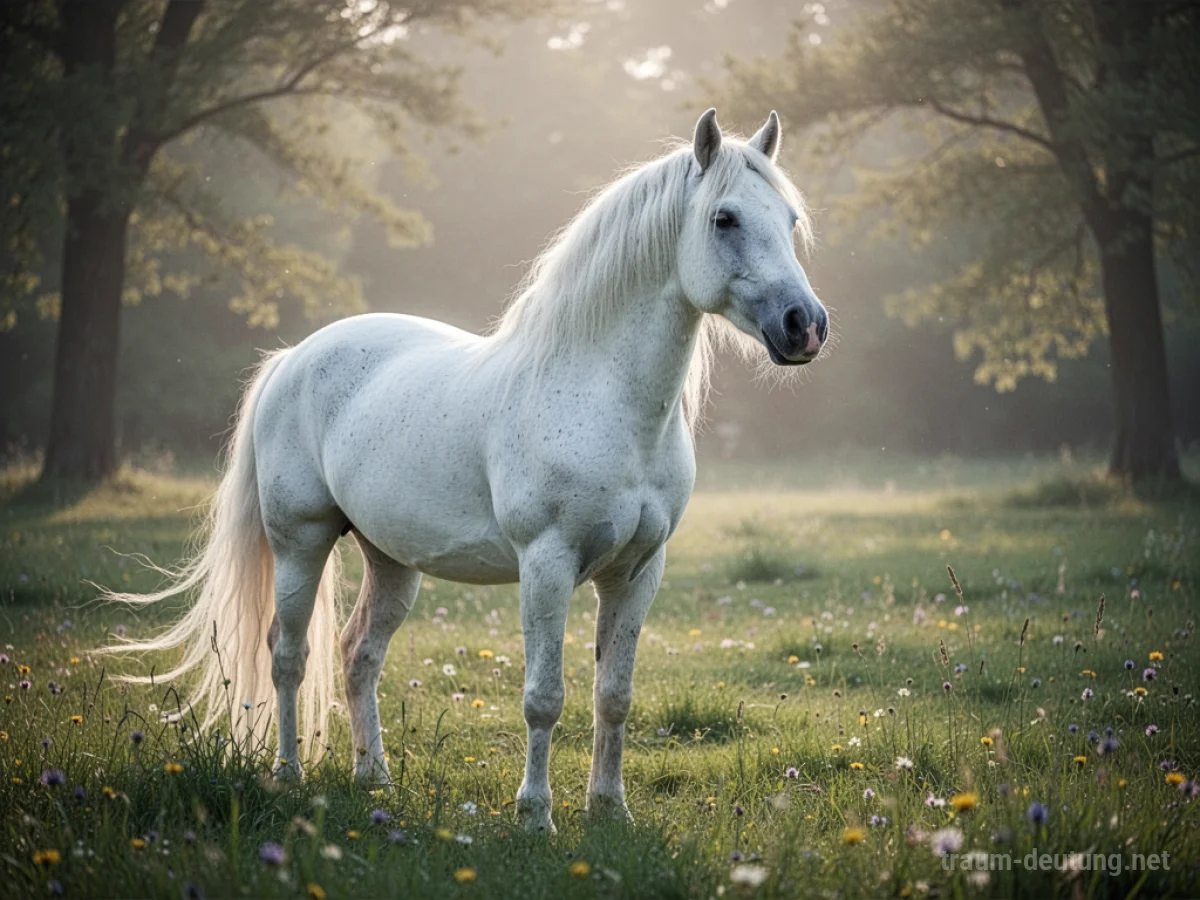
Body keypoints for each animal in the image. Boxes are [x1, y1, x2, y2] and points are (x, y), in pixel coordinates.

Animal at [98, 108, 829, 834]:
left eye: (791, 218)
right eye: (725, 218)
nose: (806, 325)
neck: (604, 397)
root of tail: (293, 358)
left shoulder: (637, 571)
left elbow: (613, 695)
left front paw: (609, 810)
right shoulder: (547, 563)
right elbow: (544, 697)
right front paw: (535, 817)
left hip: (391, 560)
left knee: (358, 653)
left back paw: (374, 777)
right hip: (300, 542)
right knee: (288, 654)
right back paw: (288, 775)